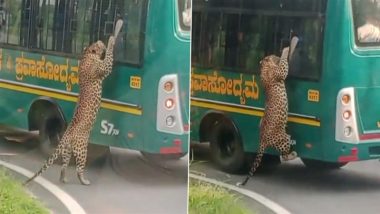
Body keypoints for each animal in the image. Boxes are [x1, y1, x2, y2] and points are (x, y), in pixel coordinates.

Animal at [23, 35, 115, 186]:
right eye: (97, 44)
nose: (101, 41)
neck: (87, 55)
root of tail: (66, 134)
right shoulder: (102, 68)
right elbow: (108, 60)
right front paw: (112, 41)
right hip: (82, 149)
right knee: (79, 168)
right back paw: (84, 181)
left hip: (67, 149)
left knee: (64, 165)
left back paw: (63, 178)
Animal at [238, 46, 296, 186]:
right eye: (274, 55)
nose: (277, 54)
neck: (264, 66)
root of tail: (262, 140)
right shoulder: (280, 72)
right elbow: (284, 66)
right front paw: (286, 51)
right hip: (282, 139)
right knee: (284, 155)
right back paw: (294, 154)